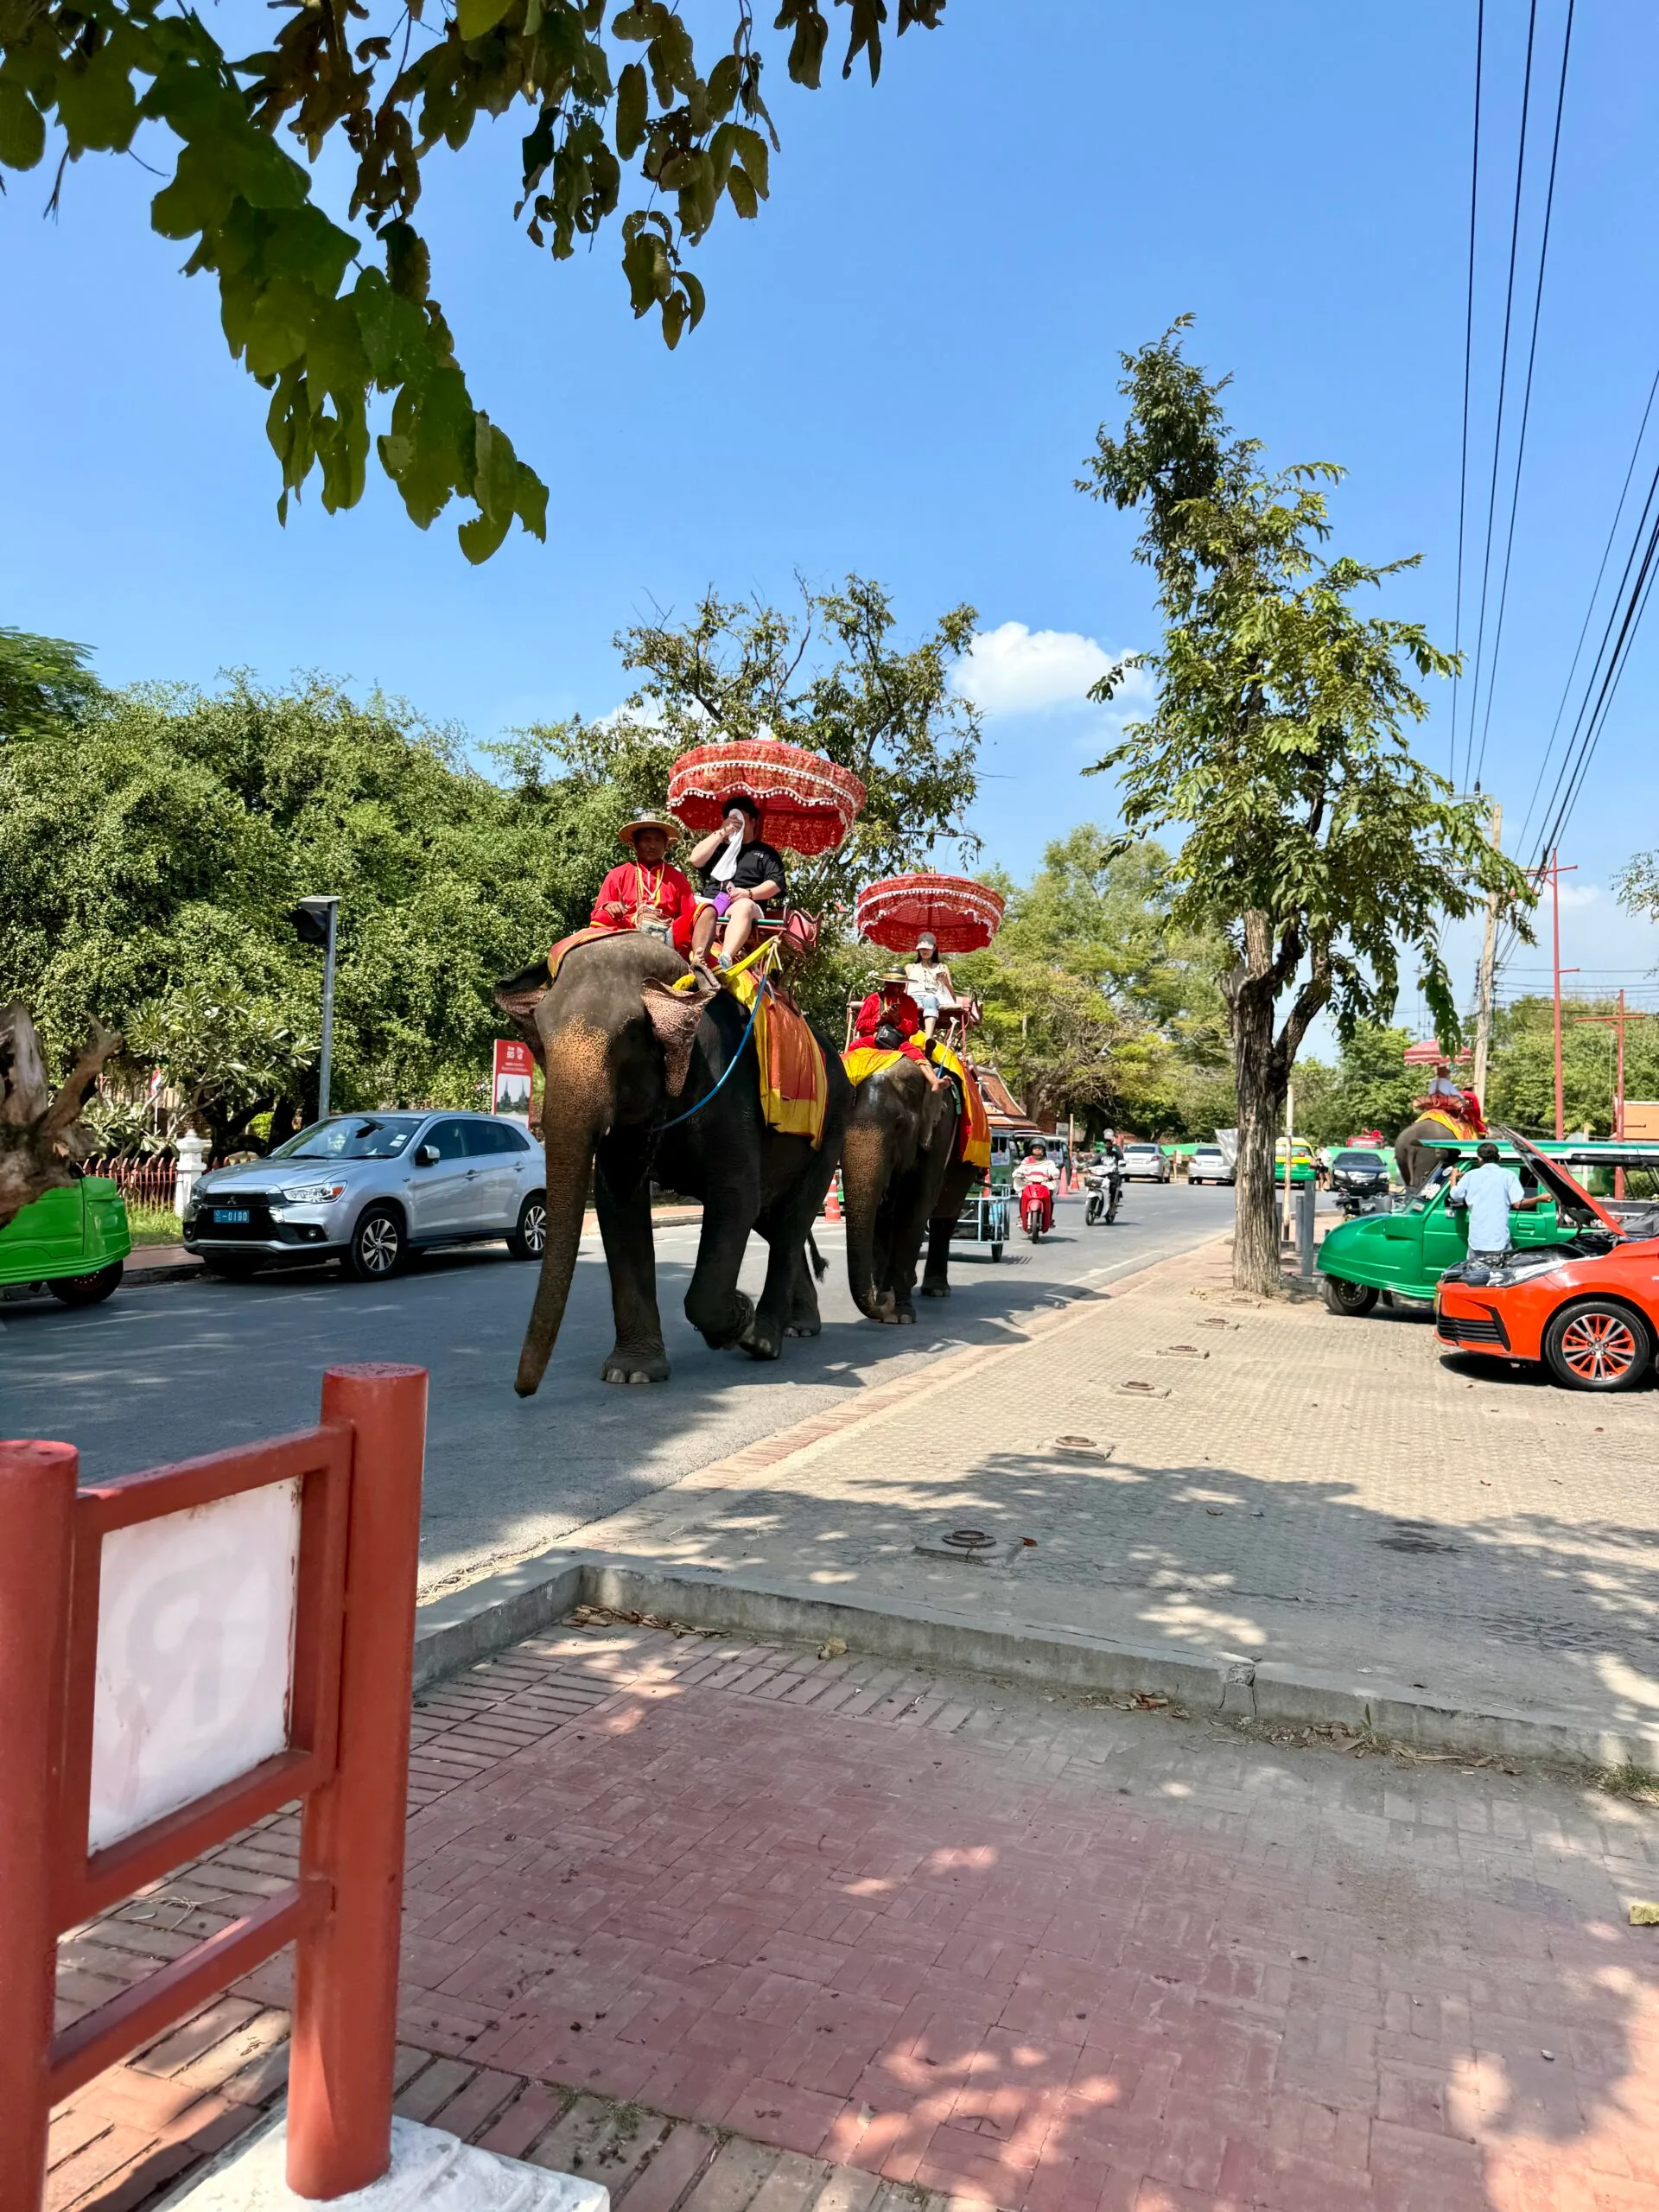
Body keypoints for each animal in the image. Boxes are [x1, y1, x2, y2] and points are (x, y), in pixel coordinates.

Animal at [494, 932, 852, 1396]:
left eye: (630, 1034)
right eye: (541, 1030)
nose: (523, 1391)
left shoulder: (728, 1092)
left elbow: (736, 1197)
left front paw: (737, 1318)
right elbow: (617, 1202)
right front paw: (631, 1374)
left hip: (833, 1126)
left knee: (791, 1221)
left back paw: (763, 1339)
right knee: (775, 1221)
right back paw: (799, 1326)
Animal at [840, 1055, 965, 1325]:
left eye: (899, 1125)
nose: (883, 1300)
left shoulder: (940, 1131)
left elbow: (915, 1207)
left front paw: (901, 1315)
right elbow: (882, 1214)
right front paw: (886, 1300)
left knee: (945, 1216)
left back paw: (936, 1290)